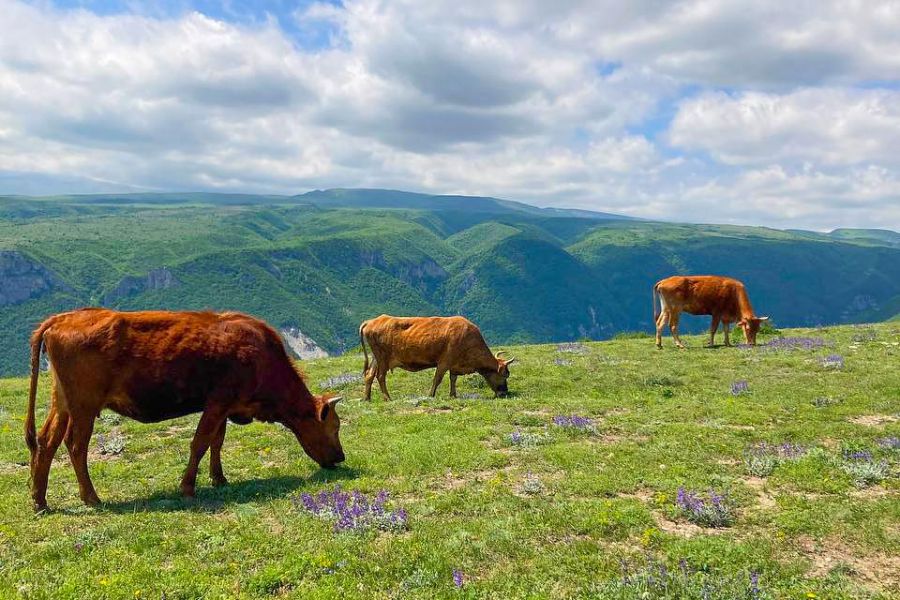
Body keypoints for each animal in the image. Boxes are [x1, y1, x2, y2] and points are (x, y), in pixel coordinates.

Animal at [24, 310, 342, 510]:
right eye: (335, 426)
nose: (340, 457)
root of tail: (65, 317)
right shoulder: (218, 402)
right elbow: (200, 443)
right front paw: (188, 487)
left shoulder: (224, 407)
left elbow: (216, 442)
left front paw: (219, 479)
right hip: (84, 407)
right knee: (75, 446)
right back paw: (91, 497)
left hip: (62, 403)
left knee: (46, 442)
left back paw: (40, 500)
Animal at [356, 314, 516, 404]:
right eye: (505, 374)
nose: (505, 393)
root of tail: (373, 320)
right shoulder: (444, 361)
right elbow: (437, 379)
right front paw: (430, 395)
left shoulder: (454, 364)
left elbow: (453, 379)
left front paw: (453, 395)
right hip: (383, 357)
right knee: (380, 376)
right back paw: (387, 398)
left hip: (376, 357)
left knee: (369, 374)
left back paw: (367, 398)